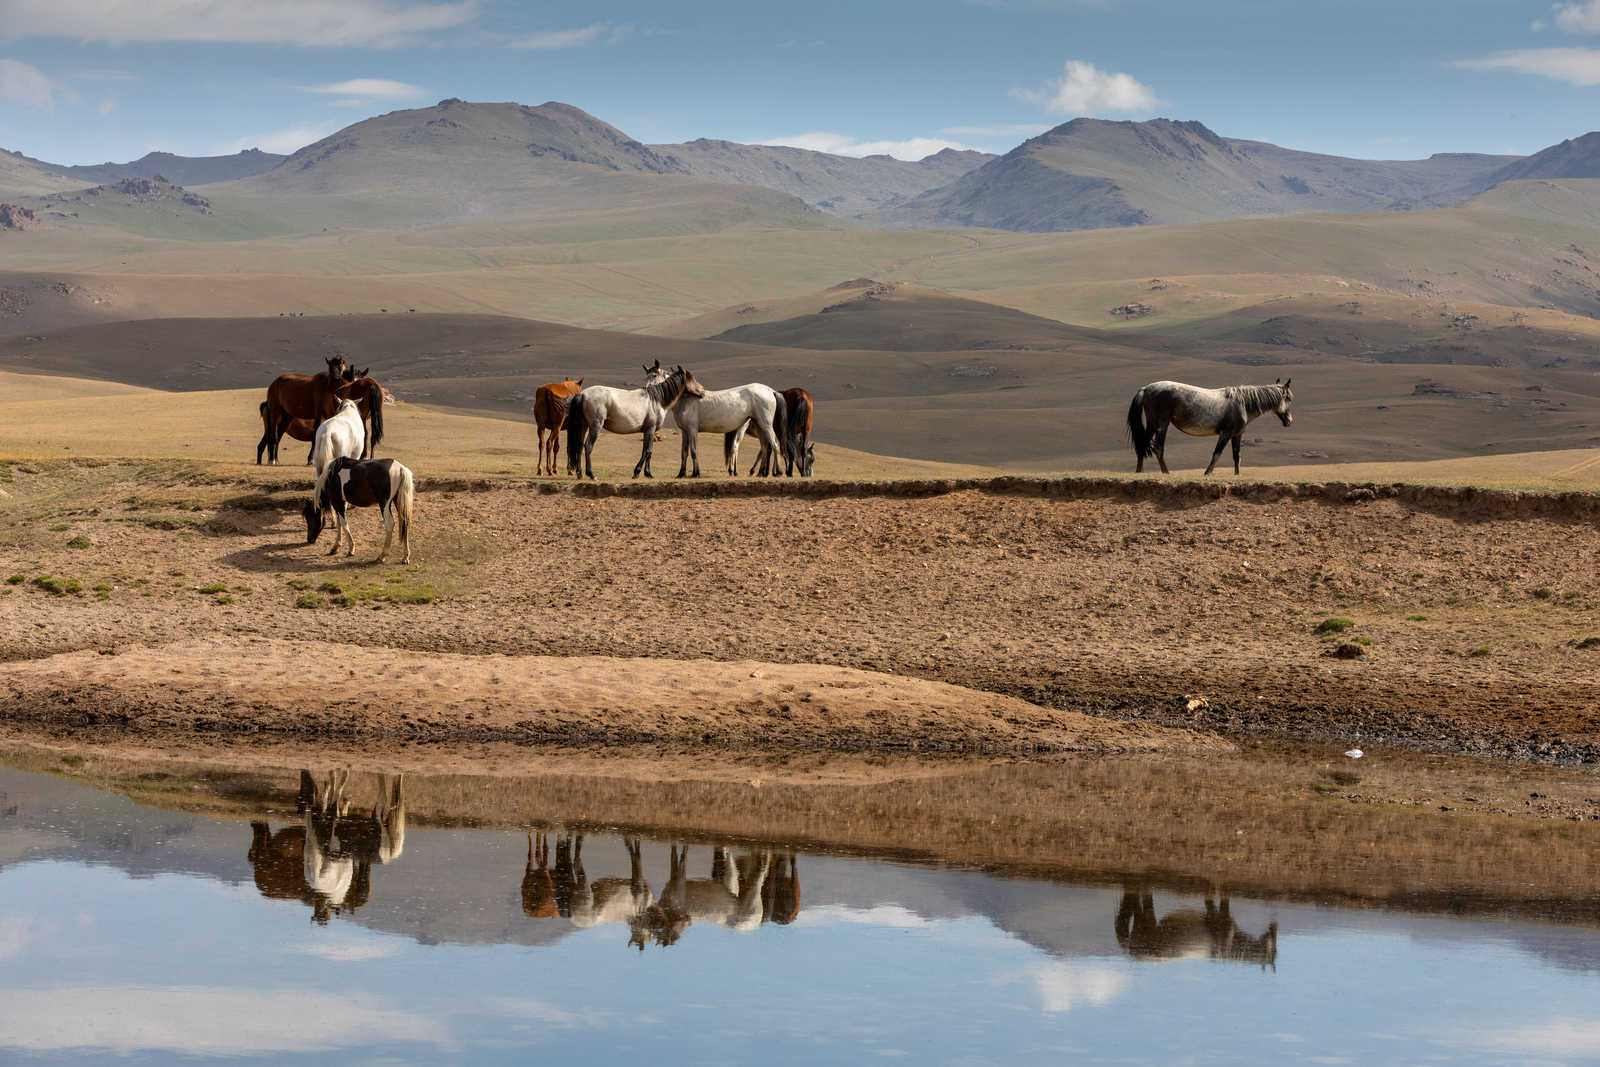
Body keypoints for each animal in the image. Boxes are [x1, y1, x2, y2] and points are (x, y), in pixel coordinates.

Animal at [565, 364, 705, 479]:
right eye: (691, 378)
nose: (702, 391)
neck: (656, 400)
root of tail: (582, 394)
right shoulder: (650, 429)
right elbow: (647, 451)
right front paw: (637, 472)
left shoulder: (649, 431)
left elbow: (648, 451)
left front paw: (648, 473)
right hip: (595, 427)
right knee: (588, 446)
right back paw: (591, 474)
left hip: (583, 426)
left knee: (579, 446)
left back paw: (579, 474)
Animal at [1127, 378, 1293, 475]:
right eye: (1289, 398)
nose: (1290, 421)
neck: (1243, 403)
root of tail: (1146, 388)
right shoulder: (1226, 434)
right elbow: (1217, 453)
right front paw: (1207, 473)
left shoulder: (1237, 434)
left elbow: (1236, 455)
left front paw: (1237, 475)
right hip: (1162, 423)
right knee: (1158, 447)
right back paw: (1166, 473)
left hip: (1152, 423)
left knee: (1142, 446)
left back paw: (1139, 472)